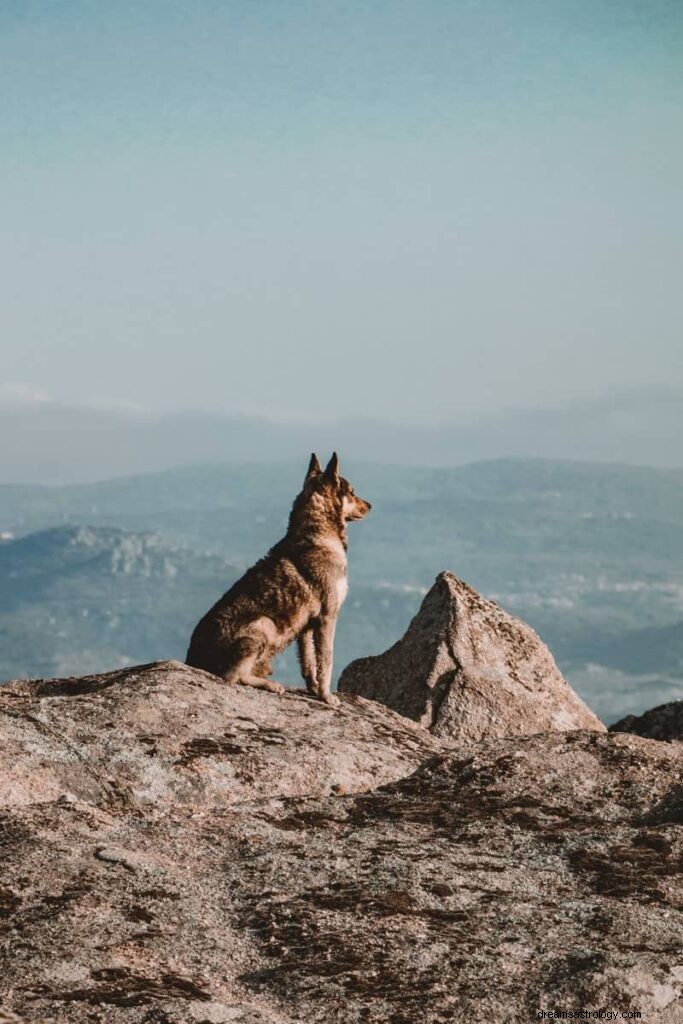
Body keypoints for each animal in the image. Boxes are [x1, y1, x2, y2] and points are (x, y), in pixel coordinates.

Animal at [184, 454, 370, 704]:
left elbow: (309, 663)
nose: (370, 506)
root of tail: (192, 660)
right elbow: (327, 661)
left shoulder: (307, 627)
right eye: (352, 491)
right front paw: (326, 696)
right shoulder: (327, 617)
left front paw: (313, 690)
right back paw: (269, 684)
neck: (319, 533)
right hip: (264, 623)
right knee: (232, 676)